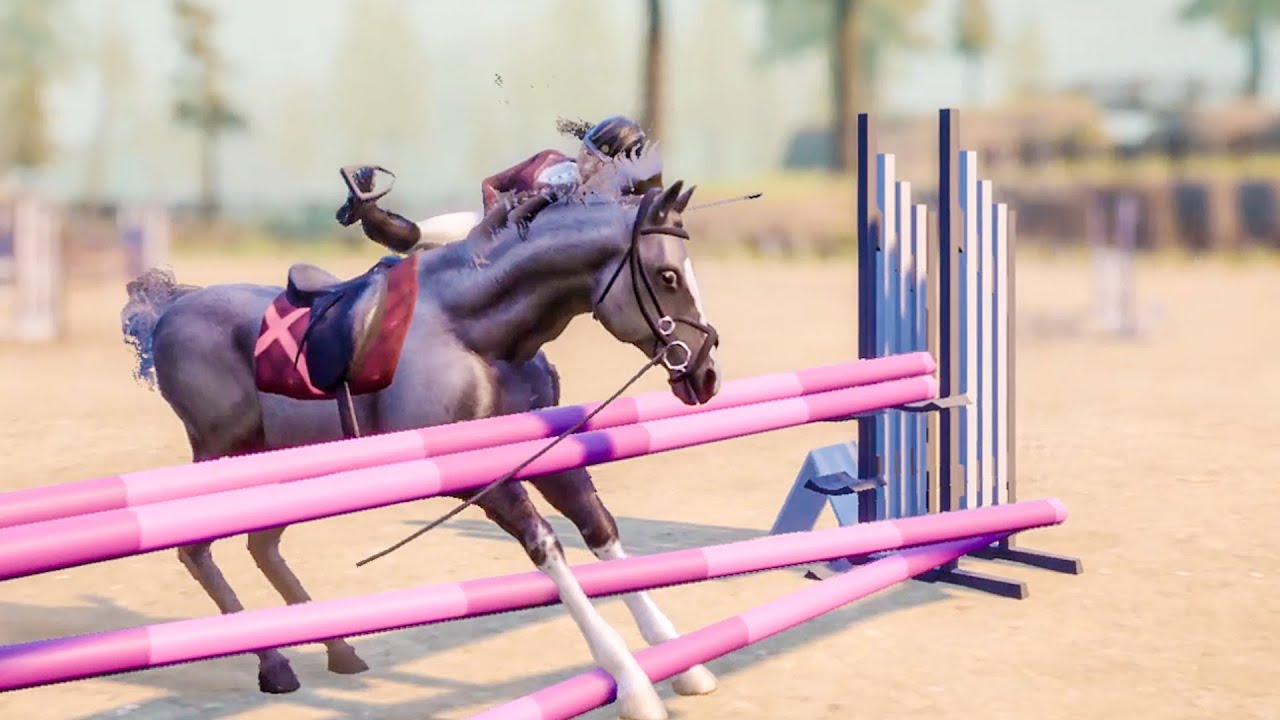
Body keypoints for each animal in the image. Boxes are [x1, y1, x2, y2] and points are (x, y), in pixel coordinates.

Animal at [120, 180, 722, 720]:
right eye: (668, 276)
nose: (705, 374)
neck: (478, 335)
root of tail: (169, 309)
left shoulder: (545, 452)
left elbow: (600, 532)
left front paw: (685, 665)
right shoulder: (479, 479)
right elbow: (548, 548)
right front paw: (634, 687)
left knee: (261, 545)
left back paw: (340, 651)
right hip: (222, 457)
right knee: (196, 549)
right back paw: (275, 665)